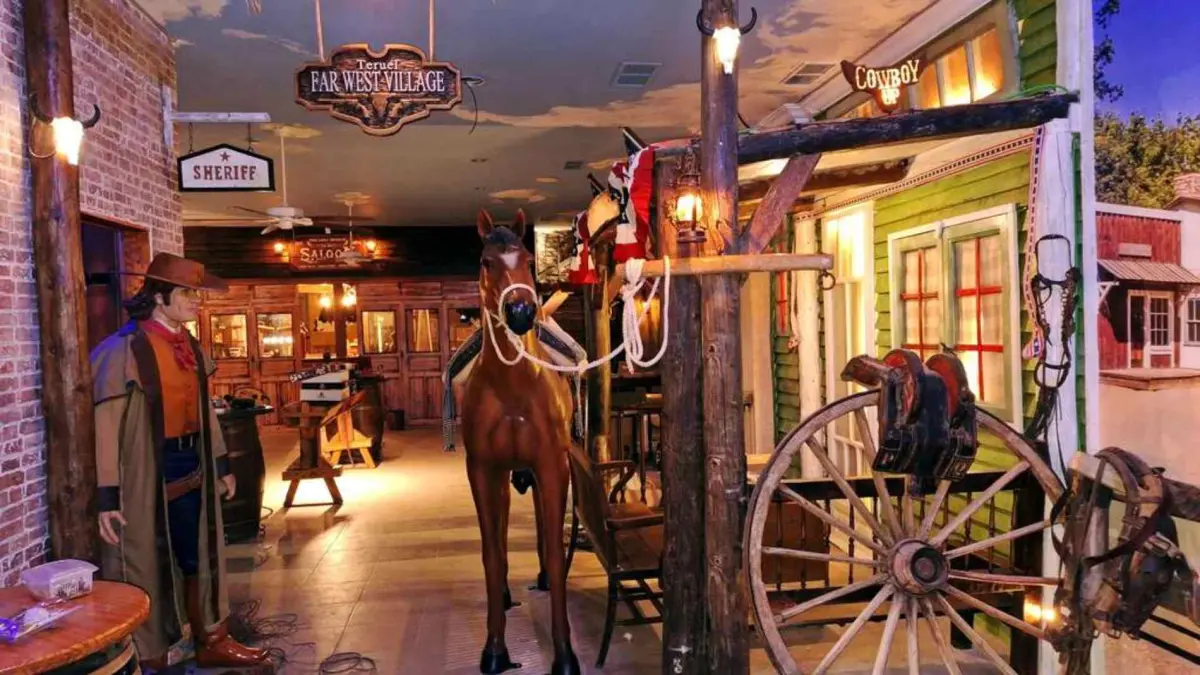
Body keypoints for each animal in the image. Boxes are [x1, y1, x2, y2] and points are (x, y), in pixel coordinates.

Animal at [461, 208, 581, 675]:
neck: (514, 385)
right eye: (485, 261)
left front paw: (565, 654)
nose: (519, 311)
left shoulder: (552, 465)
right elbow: (491, 554)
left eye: (529, 260)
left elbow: (556, 550)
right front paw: (495, 648)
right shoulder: (482, 470)